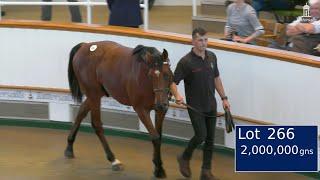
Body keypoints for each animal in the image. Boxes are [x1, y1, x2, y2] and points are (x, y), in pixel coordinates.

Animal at [64, 40, 172, 178]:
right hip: (94, 95)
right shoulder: (141, 110)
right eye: (151, 75)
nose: (161, 104)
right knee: (96, 124)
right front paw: (158, 169)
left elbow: (159, 136)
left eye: (166, 74)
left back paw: (69, 147)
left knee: (81, 112)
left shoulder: (160, 111)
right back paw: (113, 160)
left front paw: (157, 165)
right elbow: (155, 137)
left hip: (96, 95)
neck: (143, 79)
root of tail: (85, 45)